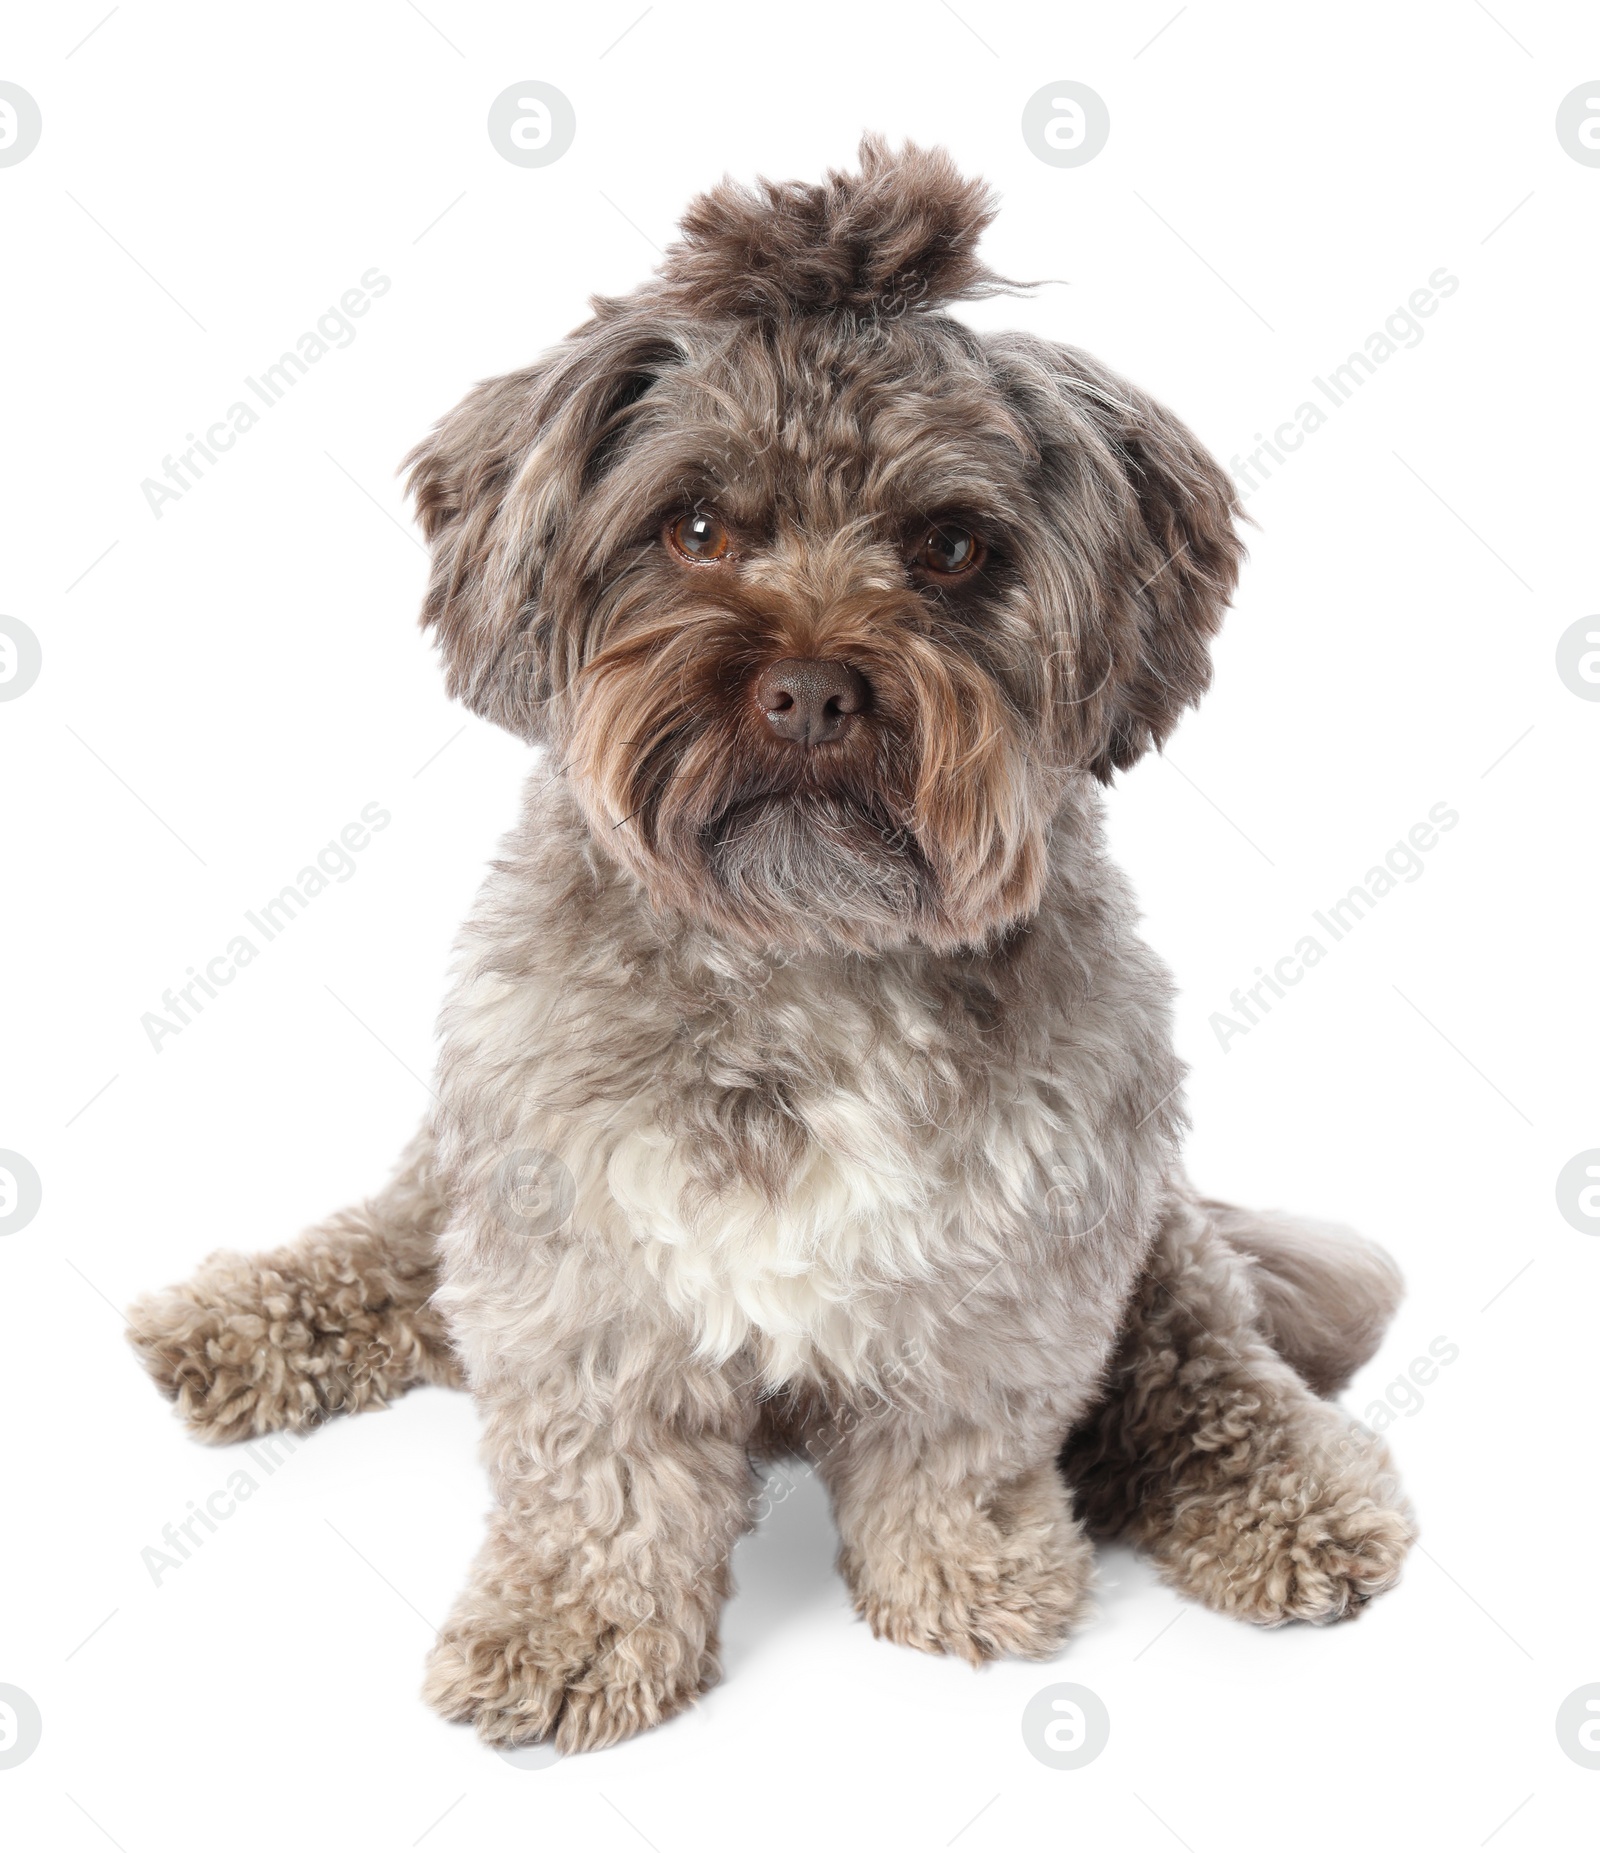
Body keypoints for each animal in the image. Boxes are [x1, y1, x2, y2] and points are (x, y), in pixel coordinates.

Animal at [127, 140, 1416, 1749]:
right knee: (391, 1243)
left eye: (949, 546)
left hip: (1158, 1240)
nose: (808, 690)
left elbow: (961, 1443)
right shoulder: (576, 1247)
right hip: (472, 1166)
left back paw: (1294, 1497)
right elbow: (601, 1469)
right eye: (694, 527)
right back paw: (222, 1322)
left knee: (1207, 1364)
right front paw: (570, 1626)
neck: (809, 950)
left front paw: (964, 1578)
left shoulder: (1023, 1248)